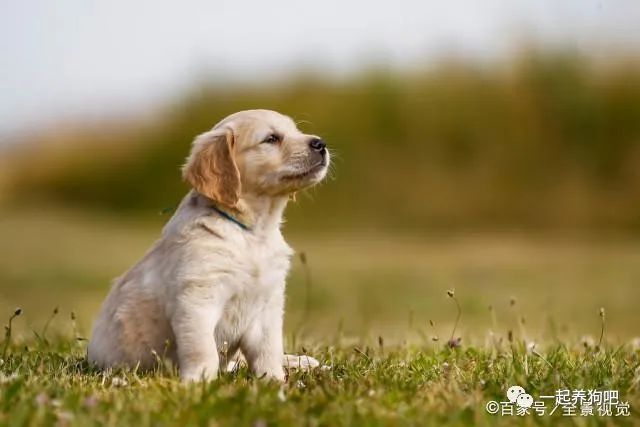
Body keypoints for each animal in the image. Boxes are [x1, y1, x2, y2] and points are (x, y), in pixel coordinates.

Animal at [89, 109, 330, 382]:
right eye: (271, 139)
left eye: (296, 131)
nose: (321, 144)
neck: (252, 233)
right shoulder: (197, 300)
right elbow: (202, 349)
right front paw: (199, 381)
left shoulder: (267, 305)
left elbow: (268, 350)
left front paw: (274, 381)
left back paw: (305, 362)